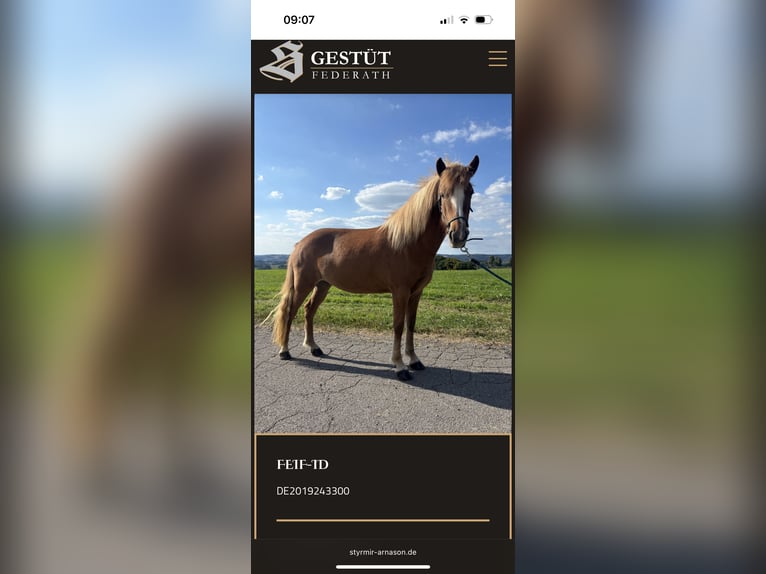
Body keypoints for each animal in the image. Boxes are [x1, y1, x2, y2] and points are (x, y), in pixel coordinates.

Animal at [268, 155, 479, 381]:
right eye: (443, 194)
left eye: (470, 191)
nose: (458, 235)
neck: (409, 243)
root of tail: (300, 243)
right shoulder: (400, 292)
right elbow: (398, 326)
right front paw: (400, 366)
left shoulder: (416, 293)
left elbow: (411, 324)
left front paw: (414, 360)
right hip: (302, 285)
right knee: (290, 311)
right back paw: (284, 351)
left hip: (323, 285)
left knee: (309, 310)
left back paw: (313, 347)